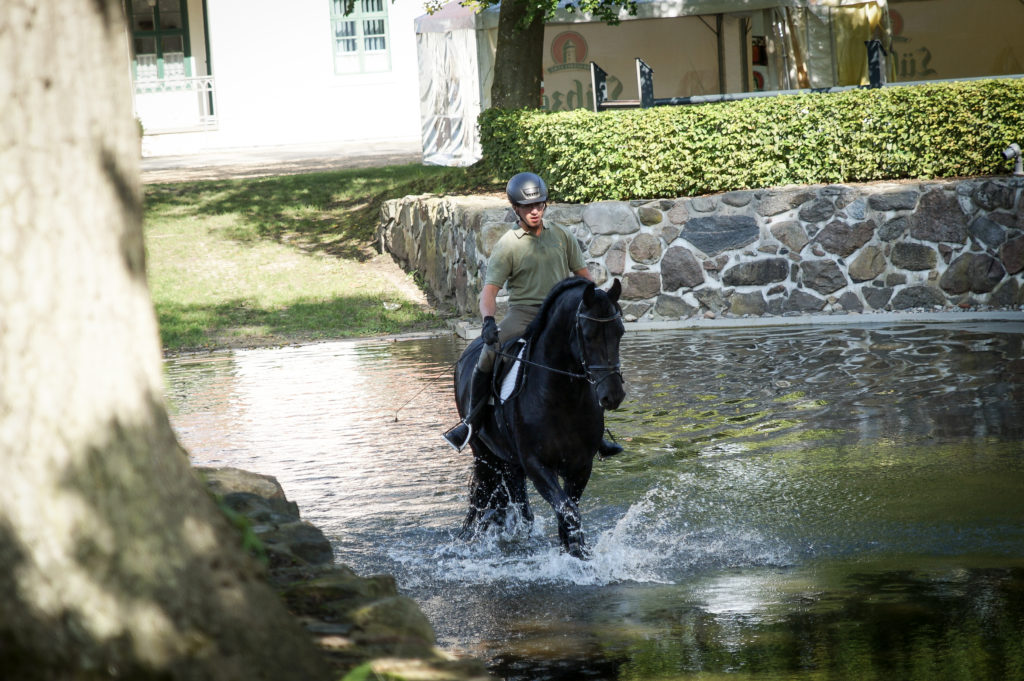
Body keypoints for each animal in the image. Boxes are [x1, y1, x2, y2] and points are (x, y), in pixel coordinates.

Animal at [454, 276, 622, 557]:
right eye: (588, 335)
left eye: (620, 331)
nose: (613, 395)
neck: (563, 397)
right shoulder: (537, 465)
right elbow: (569, 512)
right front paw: (577, 553)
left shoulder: (580, 466)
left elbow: (568, 512)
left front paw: (575, 550)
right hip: (484, 453)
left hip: (512, 462)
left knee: (520, 504)